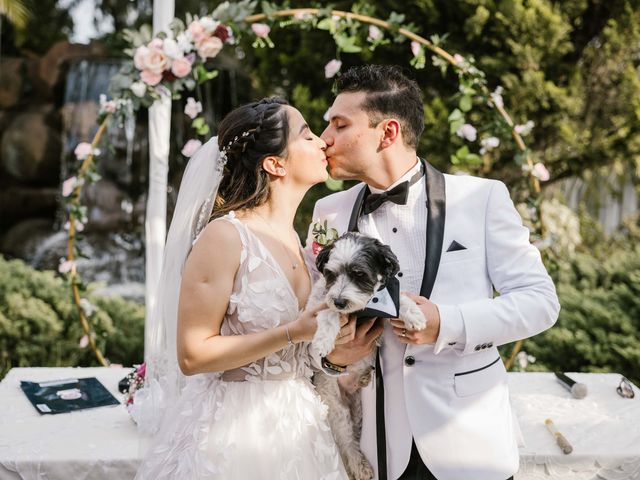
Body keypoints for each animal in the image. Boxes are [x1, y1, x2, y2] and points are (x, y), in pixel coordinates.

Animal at [308, 231, 424, 478]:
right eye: (331, 274)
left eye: (359, 274)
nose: (340, 301)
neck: (364, 310)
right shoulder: (322, 304)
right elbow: (329, 314)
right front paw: (323, 339)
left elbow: (401, 300)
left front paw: (414, 314)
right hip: (337, 409)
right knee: (347, 441)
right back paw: (360, 466)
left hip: (359, 411)